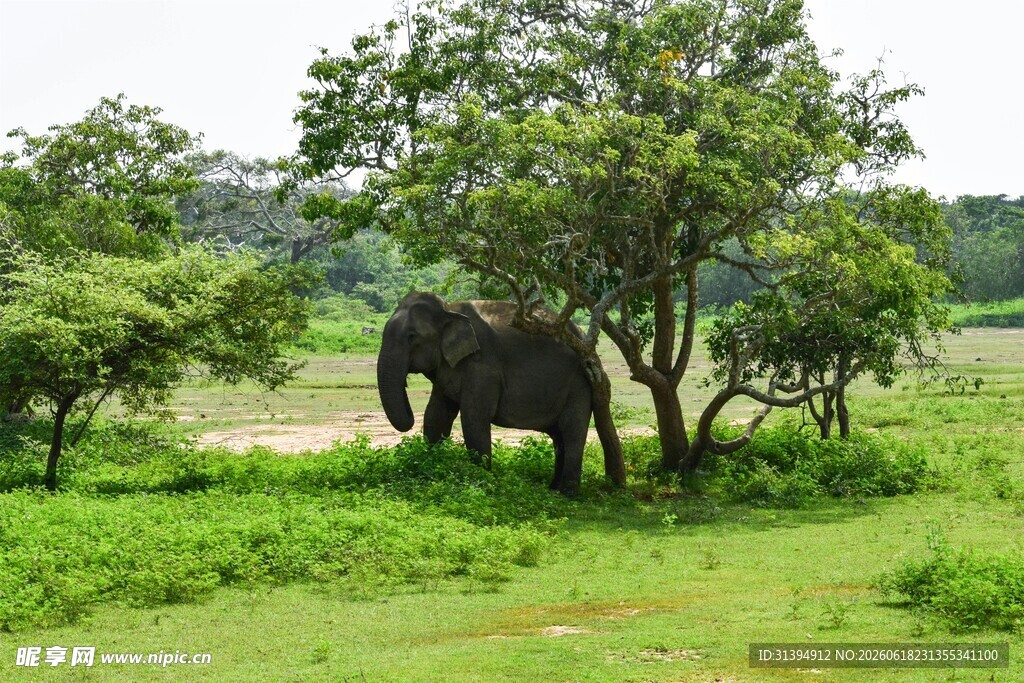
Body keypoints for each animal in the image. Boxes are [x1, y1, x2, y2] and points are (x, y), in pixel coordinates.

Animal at [376, 292, 614, 496]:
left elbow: (474, 417)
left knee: (572, 432)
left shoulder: (483, 366)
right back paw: (553, 489)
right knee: (559, 436)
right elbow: (436, 415)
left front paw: (480, 483)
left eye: (412, 336)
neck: (449, 309)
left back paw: (567, 494)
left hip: (580, 385)